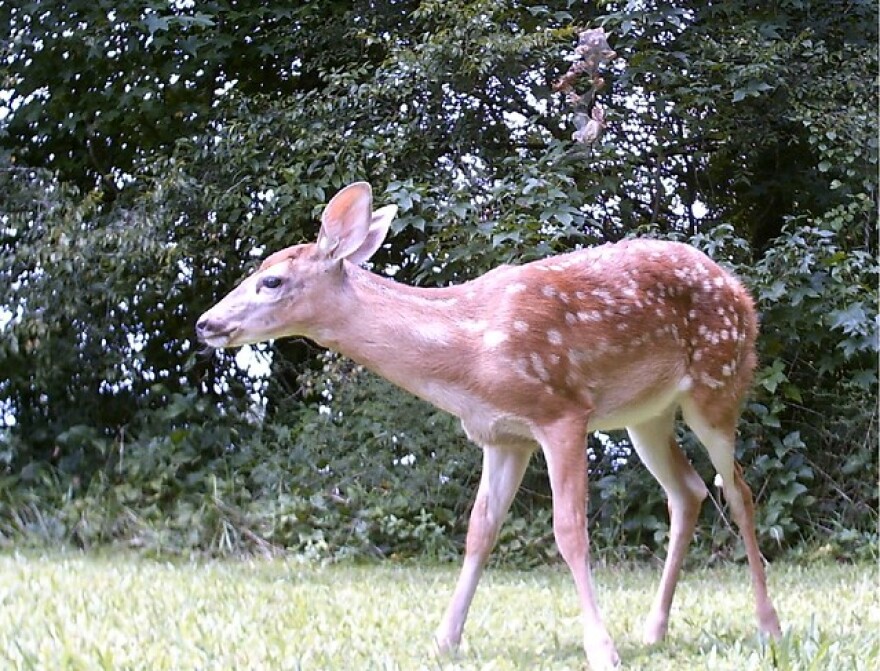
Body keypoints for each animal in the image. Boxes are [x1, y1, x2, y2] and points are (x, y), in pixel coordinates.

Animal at [196, 181, 782, 669]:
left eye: (271, 280)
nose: (206, 323)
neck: (468, 356)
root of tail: (742, 292)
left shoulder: (562, 413)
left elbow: (569, 531)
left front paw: (601, 649)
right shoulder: (502, 436)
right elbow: (480, 531)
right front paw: (444, 638)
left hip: (718, 381)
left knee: (738, 491)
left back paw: (767, 624)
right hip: (647, 415)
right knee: (687, 491)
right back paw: (654, 629)